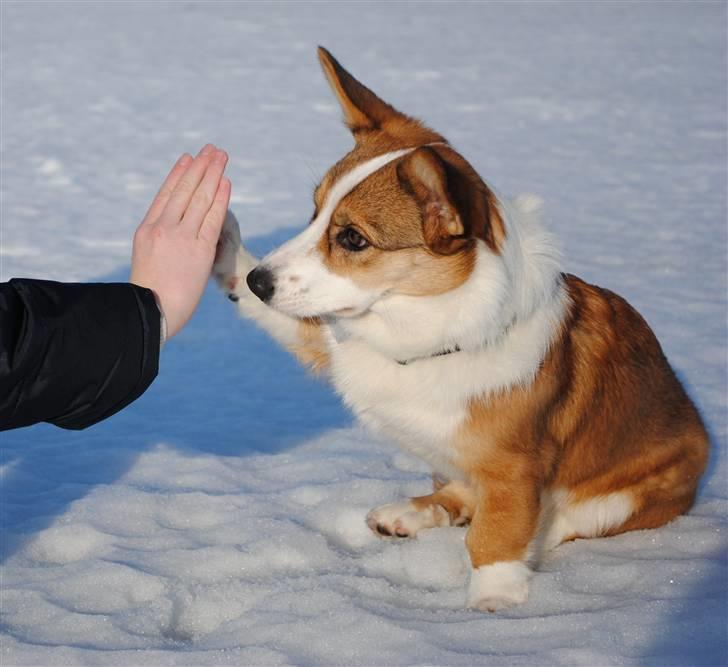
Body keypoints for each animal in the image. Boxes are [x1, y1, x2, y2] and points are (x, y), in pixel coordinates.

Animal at [212, 45, 712, 612]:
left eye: (353, 238)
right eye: (313, 212)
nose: (259, 281)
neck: (425, 330)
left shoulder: (514, 469)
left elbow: (496, 536)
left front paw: (492, 605)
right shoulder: (337, 338)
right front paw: (222, 242)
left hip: (630, 493)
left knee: (561, 521)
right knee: (457, 494)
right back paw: (409, 512)